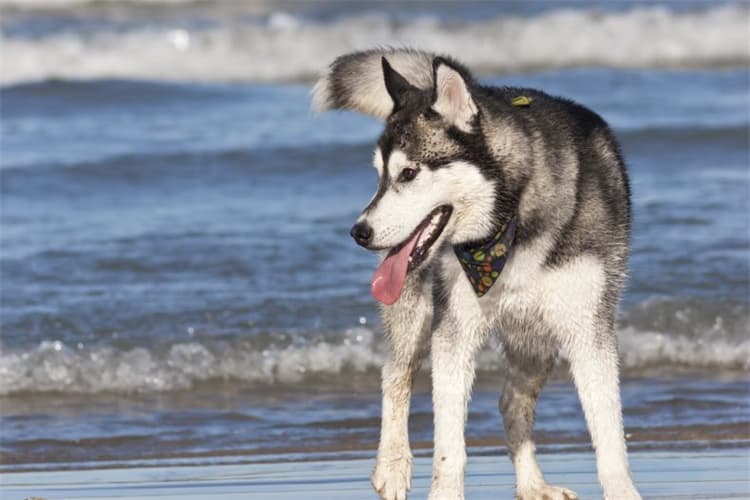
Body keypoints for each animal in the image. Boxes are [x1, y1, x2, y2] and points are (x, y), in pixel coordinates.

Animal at [314, 49, 644, 500]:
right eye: (379, 175)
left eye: (409, 173)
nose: (359, 232)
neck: (513, 222)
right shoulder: (454, 331)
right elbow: (448, 446)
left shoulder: (588, 331)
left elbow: (610, 439)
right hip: (417, 311)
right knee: (396, 374)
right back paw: (393, 465)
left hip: (537, 337)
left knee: (512, 401)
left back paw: (532, 484)